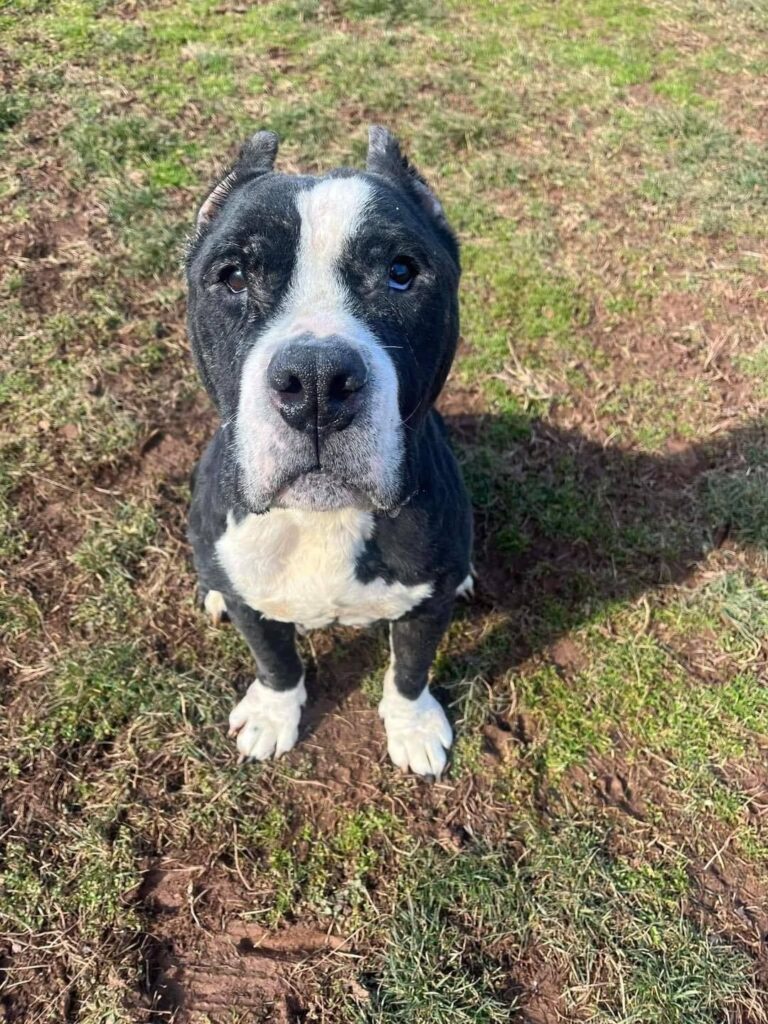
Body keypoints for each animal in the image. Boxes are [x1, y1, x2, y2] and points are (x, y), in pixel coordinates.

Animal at [188, 130, 475, 782]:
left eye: (401, 272)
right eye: (234, 276)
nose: (317, 381)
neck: (321, 518)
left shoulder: (425, 607)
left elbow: (410, 669)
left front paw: (412, 725)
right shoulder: (255, 604)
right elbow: (275, 659)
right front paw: (273, 713)